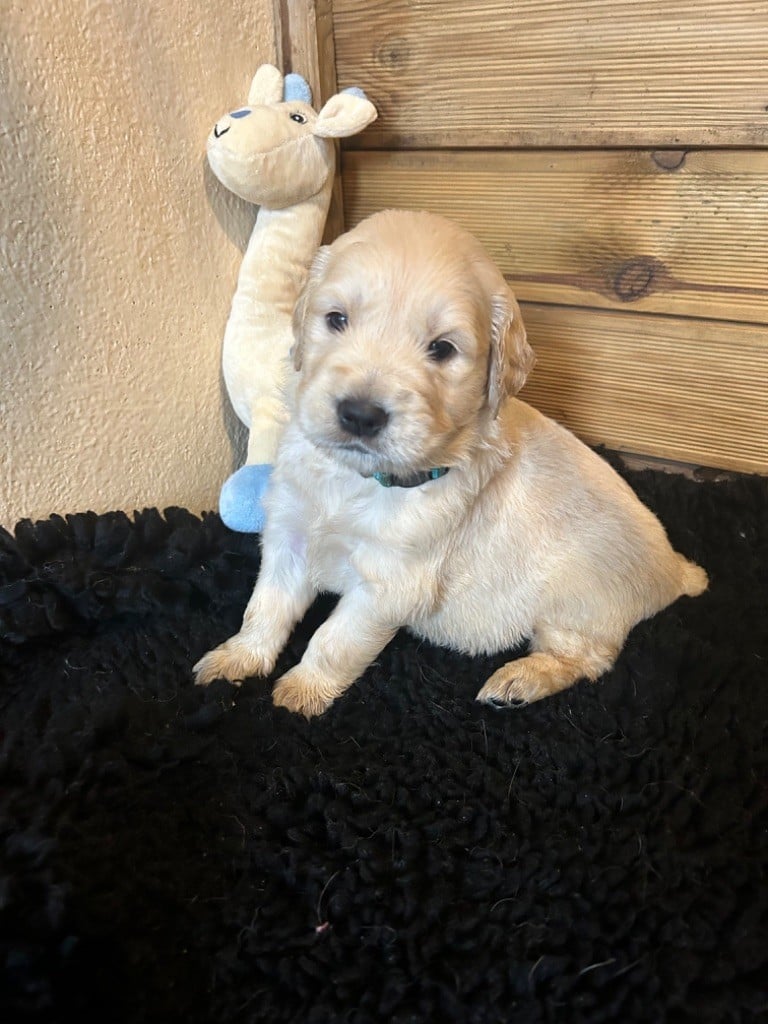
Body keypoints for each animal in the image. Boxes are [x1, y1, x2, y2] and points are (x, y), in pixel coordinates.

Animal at [194, 210, 708, 717]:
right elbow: (266, 605)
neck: (357, 482)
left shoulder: (391, 584)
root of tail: (674, 568)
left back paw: (519, 680)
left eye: (442, 348)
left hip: (577, 602)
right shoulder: (289, 535)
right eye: (336, 319)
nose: (360, 414)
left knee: (587, 658)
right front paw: (238, 658)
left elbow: (335, 639)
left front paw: (300, 693)